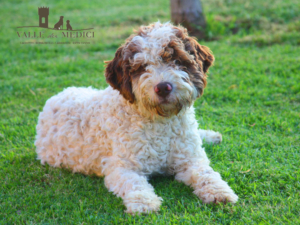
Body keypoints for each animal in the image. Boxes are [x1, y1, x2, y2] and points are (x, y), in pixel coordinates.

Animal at [35, 22, 238, 214]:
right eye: (141, 67)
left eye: (176, 60)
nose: (163, 87)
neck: (161, 122)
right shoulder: (121, 167)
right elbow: (134, 184)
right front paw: (144, 203)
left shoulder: (190, 159)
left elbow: (207, 173)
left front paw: (220, 191)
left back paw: (211, 136)